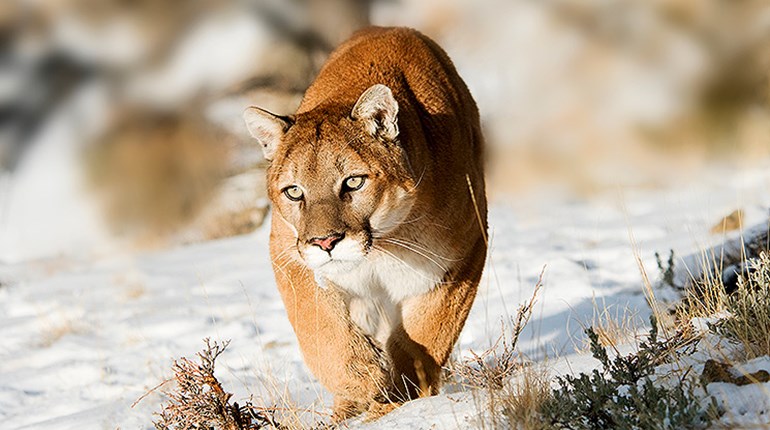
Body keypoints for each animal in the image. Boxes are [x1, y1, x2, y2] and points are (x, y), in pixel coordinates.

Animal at [243, 26, 487, 421]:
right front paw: (363, 383)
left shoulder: (463, 254)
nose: (325, 242)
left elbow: (428, 330)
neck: (382, 247)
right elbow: (322, 331)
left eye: (353, 182)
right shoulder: (289, 256)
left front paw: (406, 393)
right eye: (294, 192)